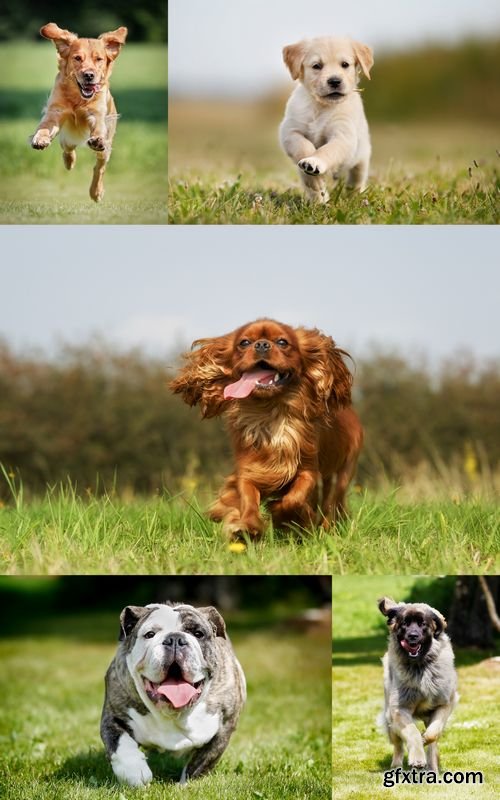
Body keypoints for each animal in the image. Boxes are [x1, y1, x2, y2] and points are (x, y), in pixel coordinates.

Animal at [280, 37, 374, 203]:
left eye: (345, 64)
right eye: (317, 66)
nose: (335, 81)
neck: (321, 106)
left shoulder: (343, 136)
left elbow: (327, 150)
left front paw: (315, 161)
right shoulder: (290, 131)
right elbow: (304, 146)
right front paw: (311, 170)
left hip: (362, 158)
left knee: (356, 180)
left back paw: (355, 197)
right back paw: (319, 200)